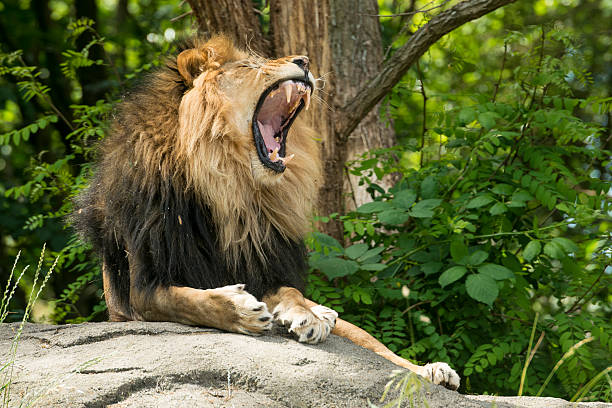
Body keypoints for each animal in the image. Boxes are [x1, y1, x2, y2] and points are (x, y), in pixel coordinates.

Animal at [74, 36, 460, 390]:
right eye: (249, 66)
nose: (305, 60)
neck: (231, 190)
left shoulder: (265, 267)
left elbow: (289, 292)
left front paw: (306, 316)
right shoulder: (140, 290)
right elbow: (188, 301)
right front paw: (240, 309)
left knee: (376, 346)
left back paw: (431, 370)